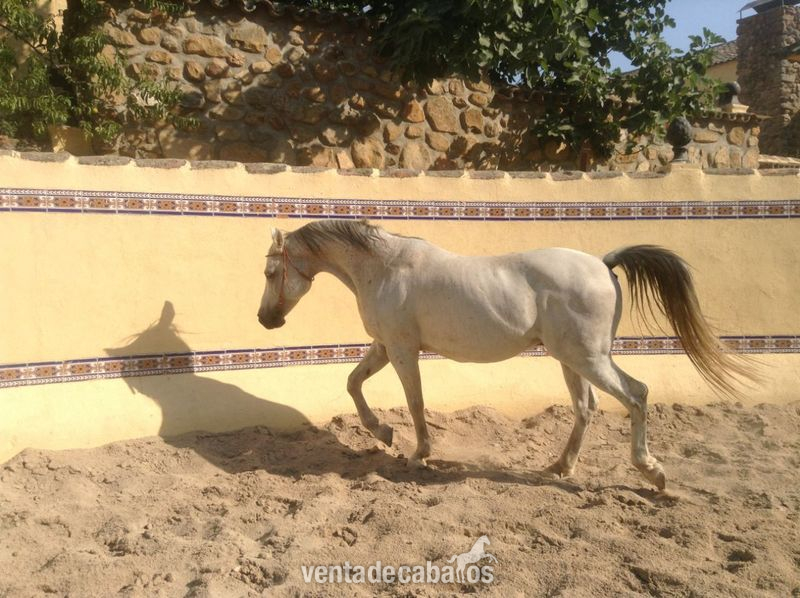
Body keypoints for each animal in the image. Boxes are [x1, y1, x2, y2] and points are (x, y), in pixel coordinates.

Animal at [257, 219, 753, 489]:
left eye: (270, 272)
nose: (266, 319)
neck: (384, 267)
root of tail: (603, 263)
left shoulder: (401, 350)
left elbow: (414, 403)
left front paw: (418, 453)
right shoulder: (384, 347)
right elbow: (353, 383)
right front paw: (384, 433)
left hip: (589, 359)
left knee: (636, 395)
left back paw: (651, 472)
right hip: (571, 359)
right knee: (586, 407)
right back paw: (559, 466)